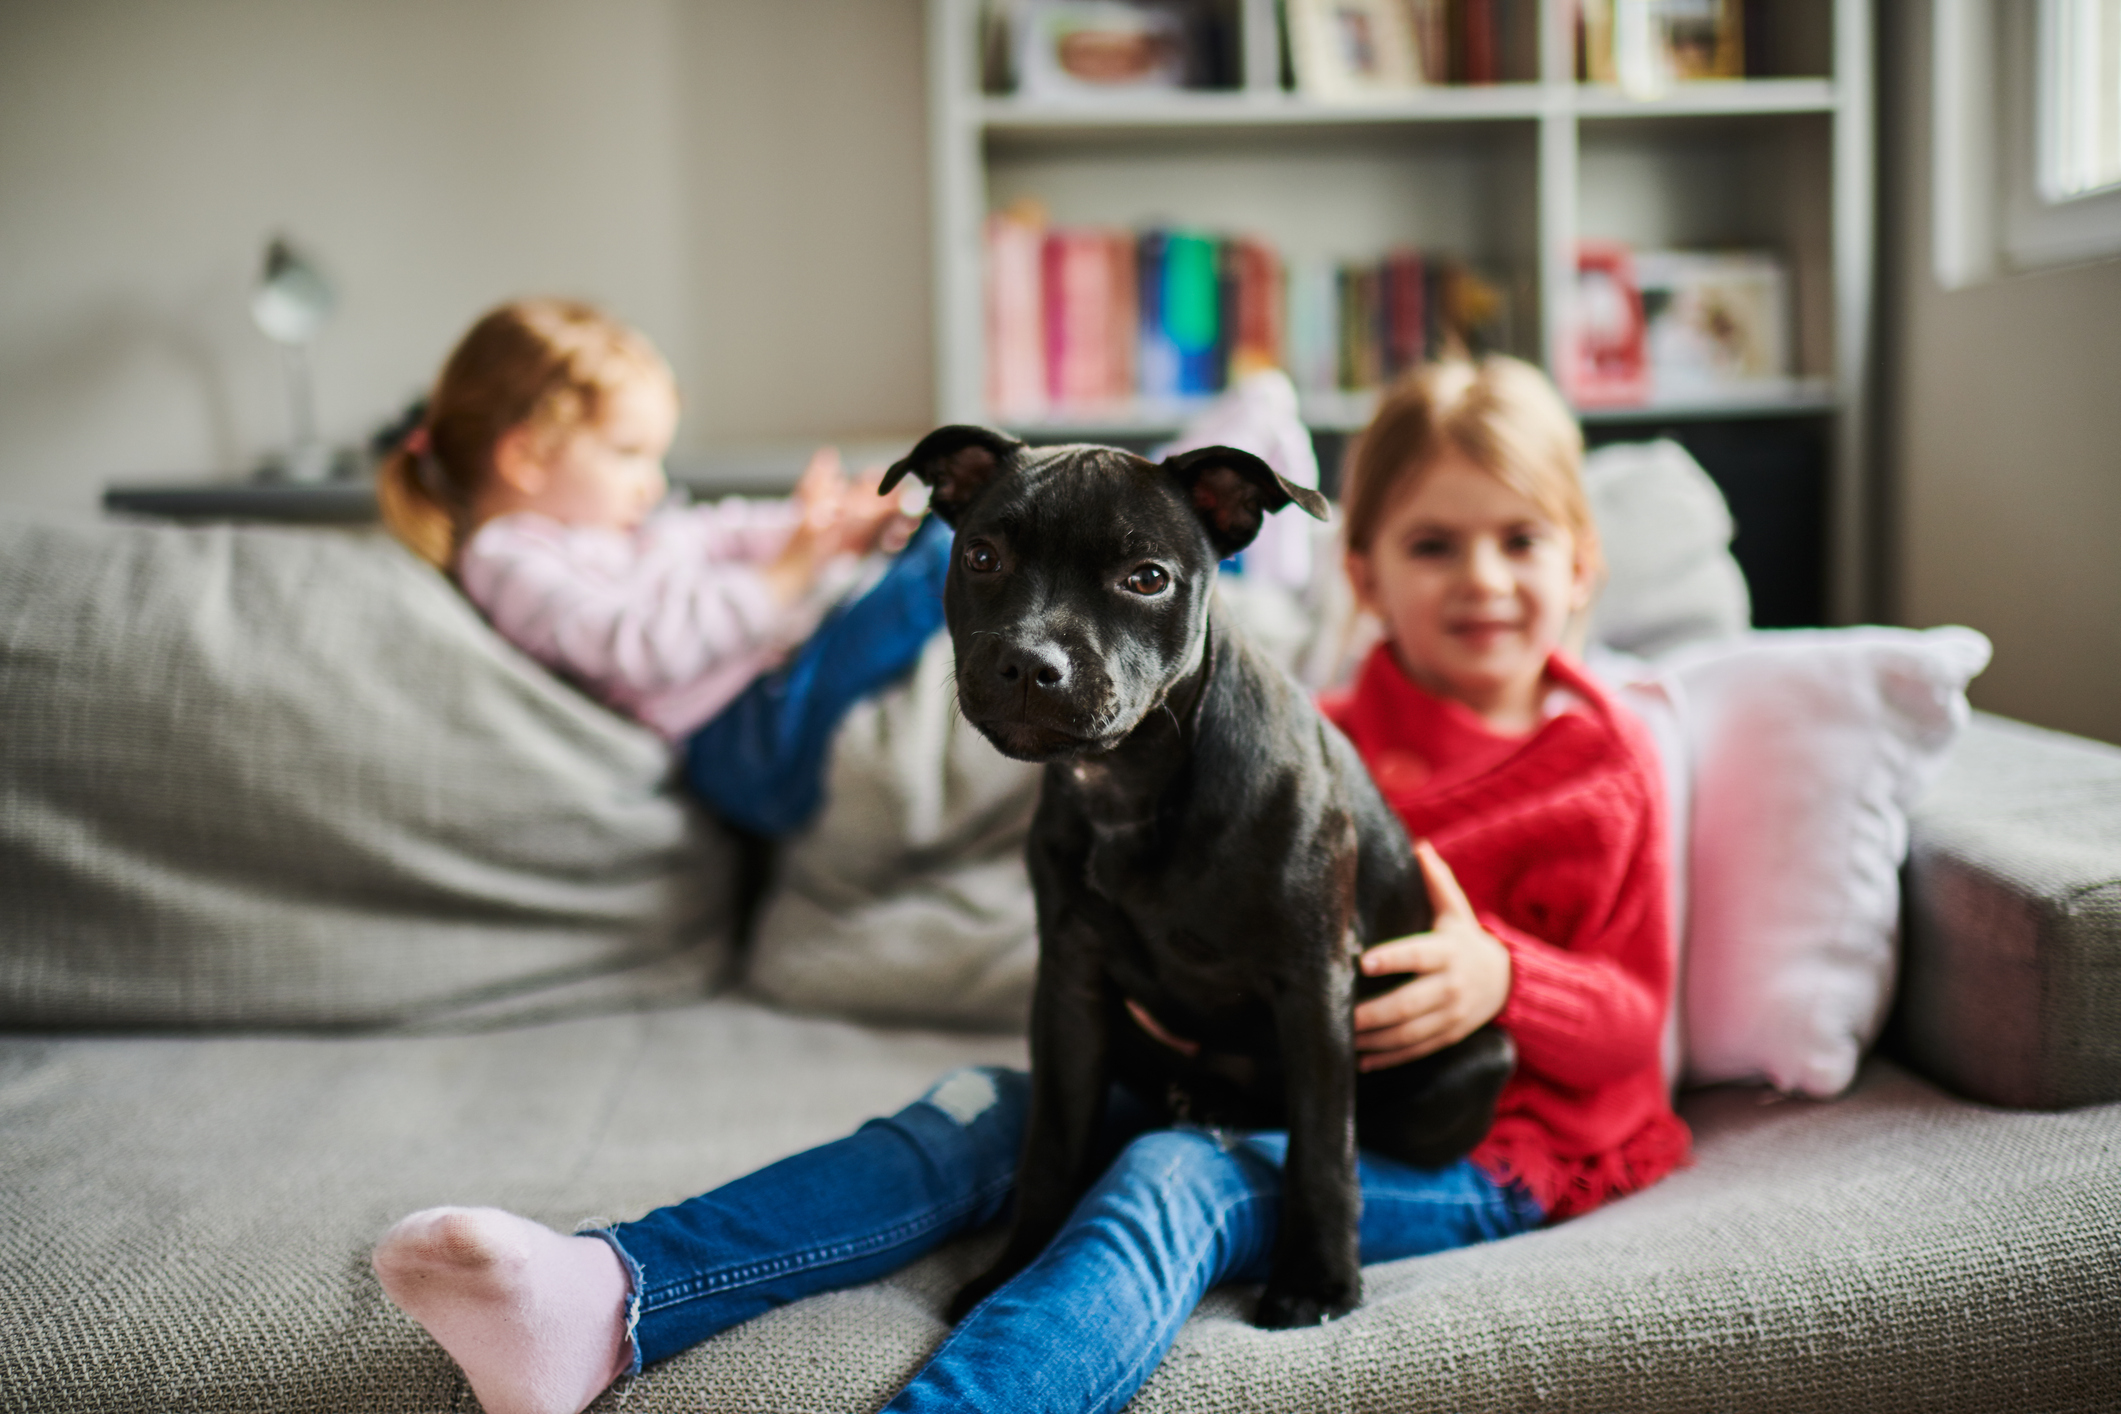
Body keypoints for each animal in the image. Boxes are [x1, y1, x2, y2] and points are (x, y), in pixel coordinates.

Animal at [873, 426, 1510, 1331]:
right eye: (982, 556)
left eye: (1147, 578)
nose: (1029, 663)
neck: (1129, 785)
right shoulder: (1070, 989)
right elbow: (1052, 1142)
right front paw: (1012, 1267)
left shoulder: (1312, 981)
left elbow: (1323, 1143)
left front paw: (1317, 1280)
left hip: (1470, 1063)